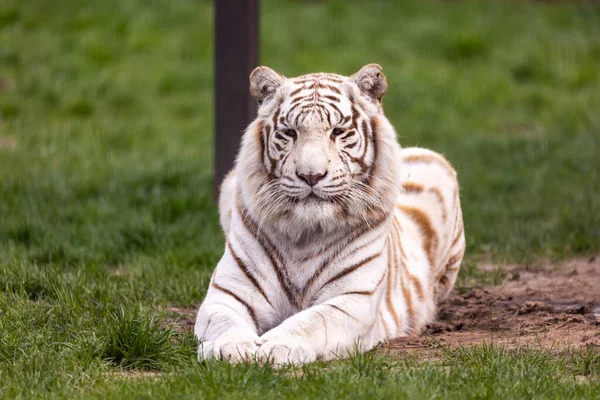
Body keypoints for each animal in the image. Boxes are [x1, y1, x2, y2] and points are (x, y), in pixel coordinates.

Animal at [195, 65, 466, 366]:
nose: (311, 175)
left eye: (338, 131)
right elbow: (225, 321)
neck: (304, 233)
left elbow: (311, 321)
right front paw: (230, 348)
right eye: (290, 132)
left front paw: (278, 346)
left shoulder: (352, 299)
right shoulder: (227, 295)